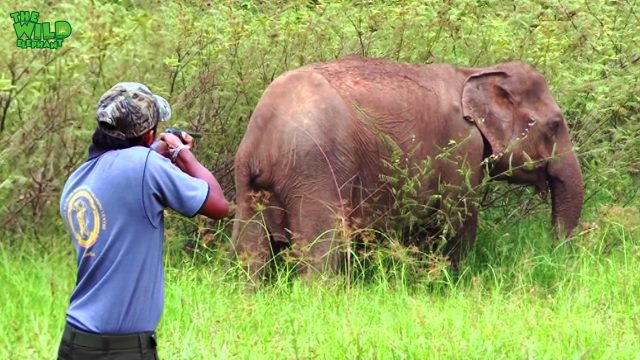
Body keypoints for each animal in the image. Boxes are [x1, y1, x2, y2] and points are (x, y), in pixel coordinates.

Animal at [231, 56, 584, 278]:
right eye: (555, 125)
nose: (555, 254)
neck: (472, 72)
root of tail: (264, 135)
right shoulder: (460, 147)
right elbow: (458, 221)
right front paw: (455, 280)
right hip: (314, 171)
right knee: (320, 248)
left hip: (248, 181)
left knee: (251, 249)